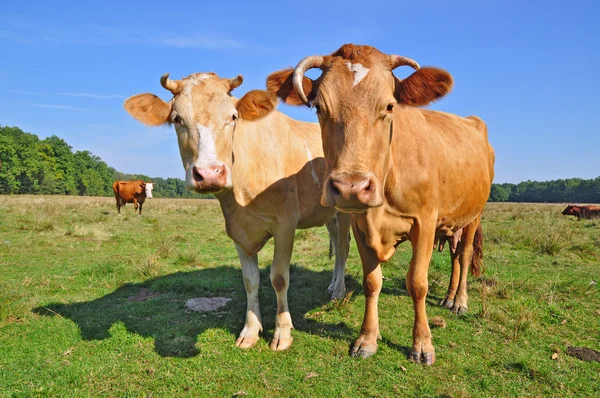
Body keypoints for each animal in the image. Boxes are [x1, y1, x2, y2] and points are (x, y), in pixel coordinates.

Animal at [125, 72, 354, 352]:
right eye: (177, 119)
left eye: (233, 117)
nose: (209, 173)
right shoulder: (236, 229)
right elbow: (250, 280)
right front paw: (250, 330)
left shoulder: (285, 225)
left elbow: (279, 277)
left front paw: (282, 331)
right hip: (328, 213)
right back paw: (332, 284)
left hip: (346, 209)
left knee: (342, 247)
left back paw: (338, 292)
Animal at [270, 43, 494, 364]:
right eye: (319, 108)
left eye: (389, 106)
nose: (350, 187)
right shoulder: (360, 225)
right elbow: (372, 282)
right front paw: (367, 339)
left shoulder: (425, 223)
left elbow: (418, 283)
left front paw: (422, 344)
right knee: (454, 256)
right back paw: (449, 296)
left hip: (473, 216)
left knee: (463, 256)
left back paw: (459, 301)